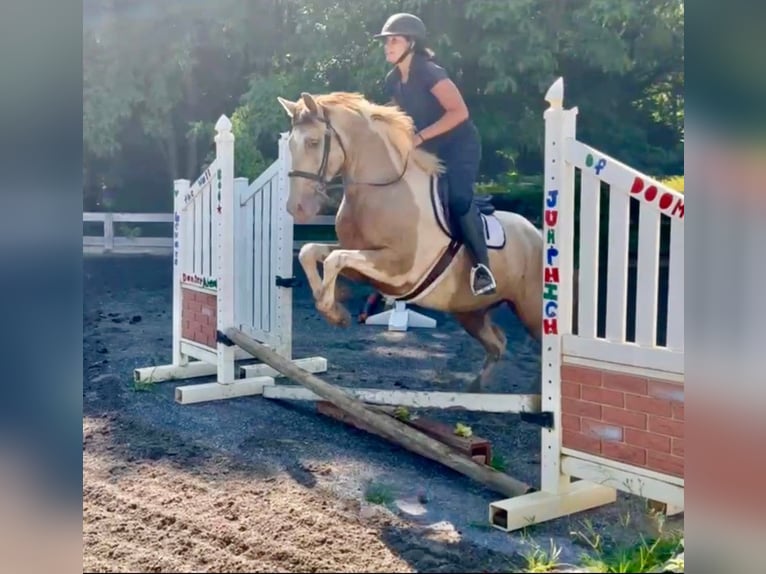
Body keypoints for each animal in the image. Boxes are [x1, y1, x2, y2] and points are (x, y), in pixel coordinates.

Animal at [276, 91, 544, 392]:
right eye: (290, 145)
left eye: (313, 142)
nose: (296, 208)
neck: (383, 191)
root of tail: (537, 235)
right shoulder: (362, 260)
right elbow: (310, 252)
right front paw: (336, 307)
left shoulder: (399, 268)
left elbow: (335, 259)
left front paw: (334, 308)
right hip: (470, 312)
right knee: (497, 343)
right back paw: (476, 389)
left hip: (531, 309)